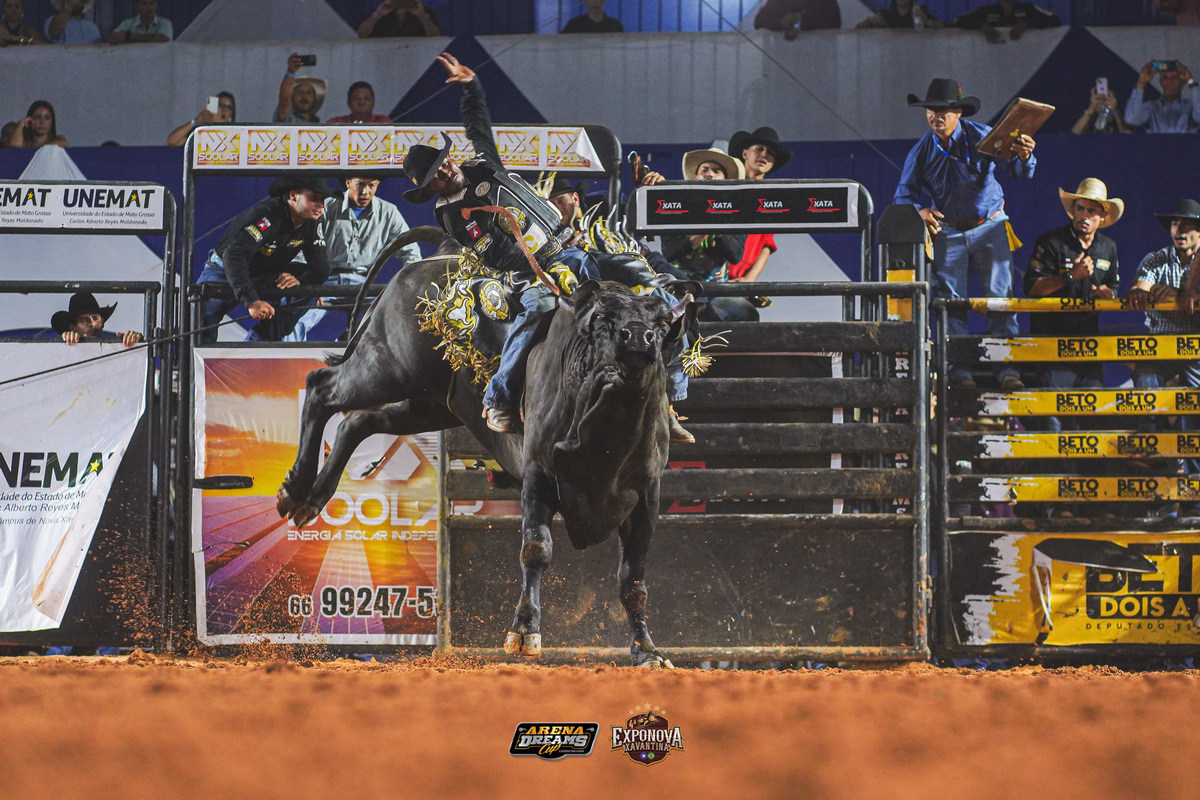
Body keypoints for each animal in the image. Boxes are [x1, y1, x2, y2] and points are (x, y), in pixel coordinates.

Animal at [275, 228, 697, 667]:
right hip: (385, 367)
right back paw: (295, 488)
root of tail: (427, 264)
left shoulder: (646, 496)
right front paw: (524, 632)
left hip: (426, 404)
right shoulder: (537, 474)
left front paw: (647, 651)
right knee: (321, 386)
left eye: (662, 323)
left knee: (355, 422)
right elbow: (536, 549)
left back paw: (310, 499)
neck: (604, 432)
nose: (638, 339)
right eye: (602, 320)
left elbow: (634, 580)